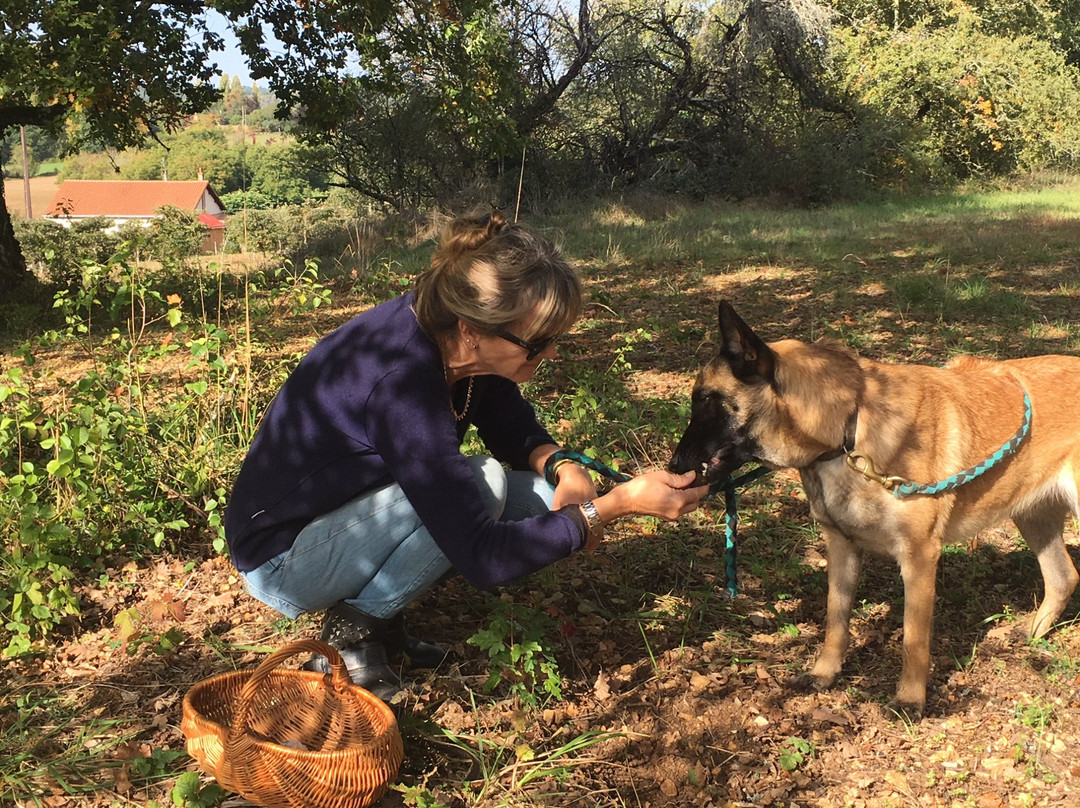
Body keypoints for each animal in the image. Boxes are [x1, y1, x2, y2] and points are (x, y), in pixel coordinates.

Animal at [669, 302, 1075, 712]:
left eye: (704, 400)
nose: (672, 467)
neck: (847, 430)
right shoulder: (841, 549)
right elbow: (836, 620)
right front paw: (825, 673)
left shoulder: (919, 557)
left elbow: (913, 639)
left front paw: (910, 698)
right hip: (1032, 517)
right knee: (1064, 577)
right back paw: (1032, 631)